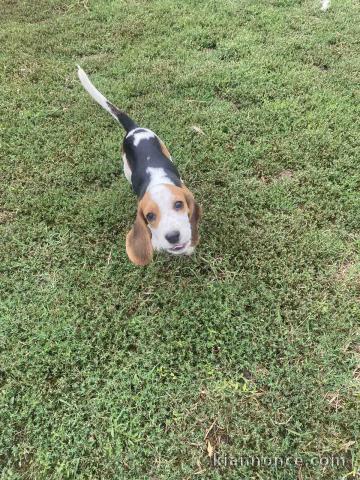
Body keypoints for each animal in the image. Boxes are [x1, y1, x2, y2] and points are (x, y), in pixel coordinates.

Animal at [76, 66, 200, 266]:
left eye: (179, 204)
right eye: (150, 216)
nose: (173, 236)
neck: (158, 181)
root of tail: (134, 129)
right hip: (126, 167)